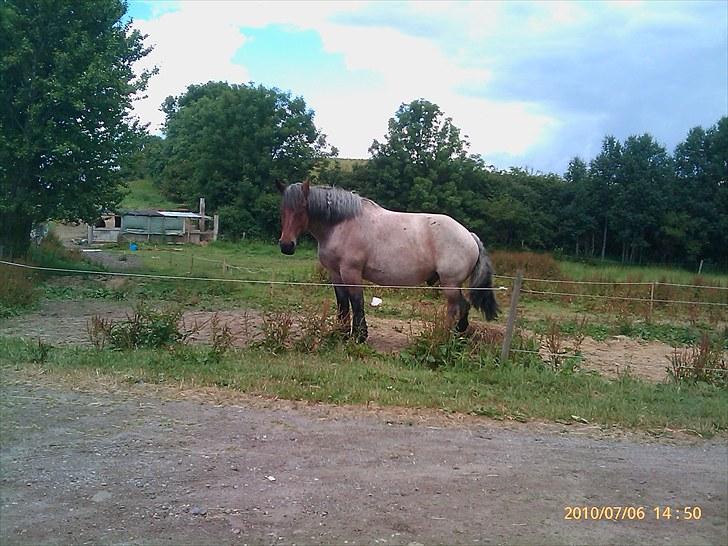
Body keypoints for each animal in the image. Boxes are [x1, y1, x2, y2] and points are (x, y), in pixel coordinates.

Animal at [276, 178, 498, 340]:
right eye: (283, 209)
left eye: (303, 207)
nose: (286, 245)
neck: (342, 225)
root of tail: (469, 235)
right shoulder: (335, 273)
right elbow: (342, 303)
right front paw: (341, 332)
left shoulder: (351, 272)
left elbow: (357, 301)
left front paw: (359, 336)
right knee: (463, 306)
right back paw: (458, 335)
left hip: (450, 283)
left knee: (455, 307)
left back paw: (444, 336)